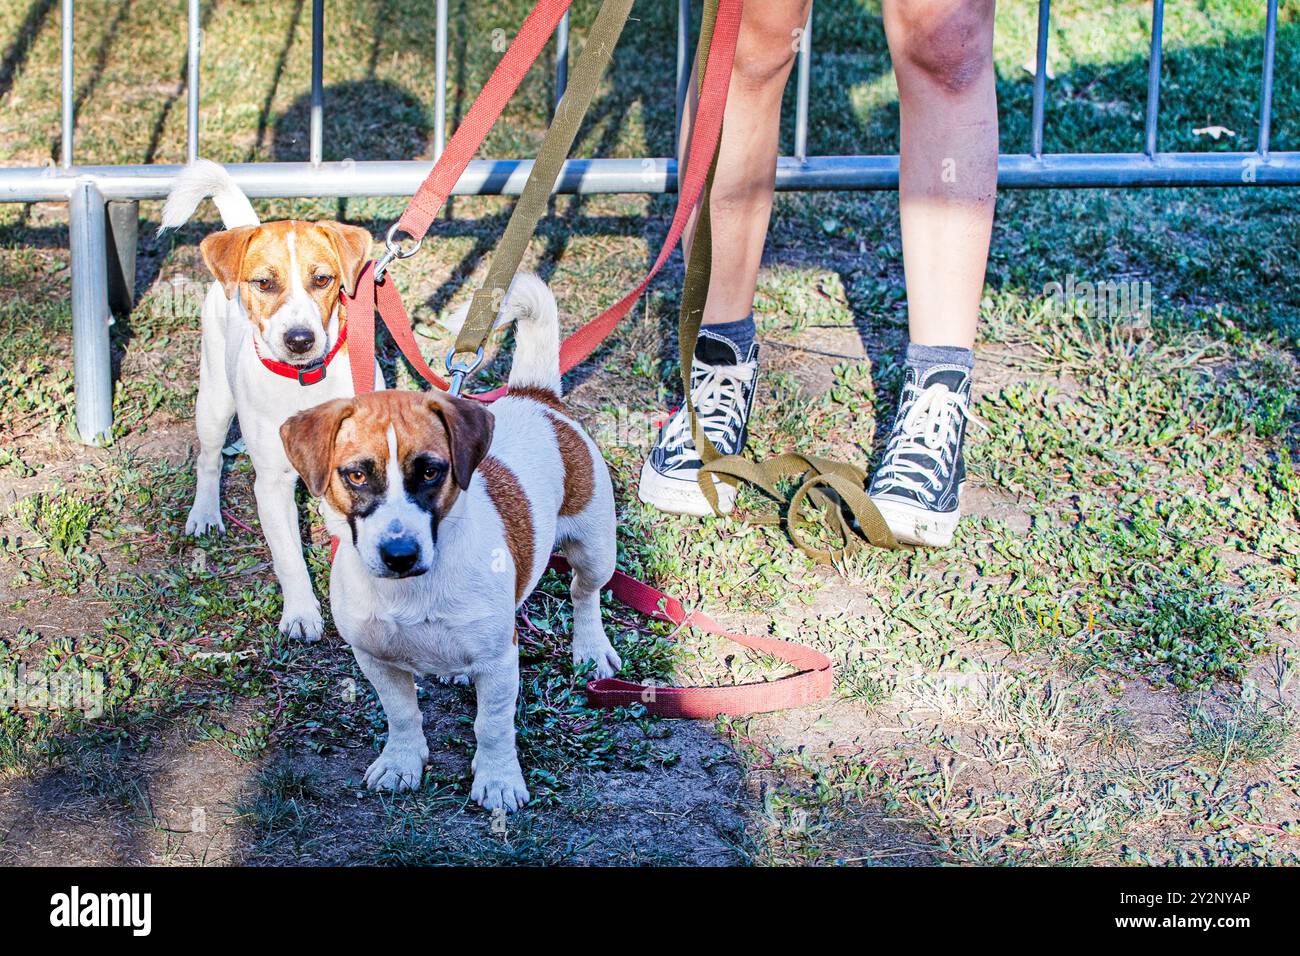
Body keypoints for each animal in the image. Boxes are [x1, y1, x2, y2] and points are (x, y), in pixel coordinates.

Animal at [159, 160, 379, 642]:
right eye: (263, 283)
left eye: (323, 279)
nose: (299, 340)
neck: (303, 381)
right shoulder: (272, 484)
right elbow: (289, 558)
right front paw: (300, 614)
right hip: (213, 401)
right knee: (208, 458)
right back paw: (205, 513)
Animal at [278, 277, 618, 816]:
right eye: (356, 475)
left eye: (431, 471)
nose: (399, 555)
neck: (412, 591)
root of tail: (536, 396)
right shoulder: (375, 658)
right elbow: (402, 714)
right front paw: (402, 761)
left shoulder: (501, 660)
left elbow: (493, 725)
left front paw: (498, 779)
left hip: (594, 547)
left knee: (584, 595)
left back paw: (591, 646)